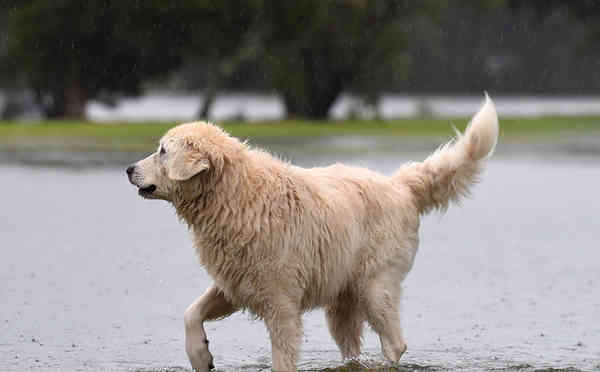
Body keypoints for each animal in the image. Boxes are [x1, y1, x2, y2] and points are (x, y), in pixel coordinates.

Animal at [125, 94, 496, 370]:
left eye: (162, 151)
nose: (128, 169)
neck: (233, 195)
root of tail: (399, 184)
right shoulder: (236, 283)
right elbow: (191, 313)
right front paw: (201, 356)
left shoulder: (281, 303)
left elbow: (283, 357)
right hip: (343, 300)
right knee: (352, 346)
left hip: (375, 287)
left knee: (395, 343)